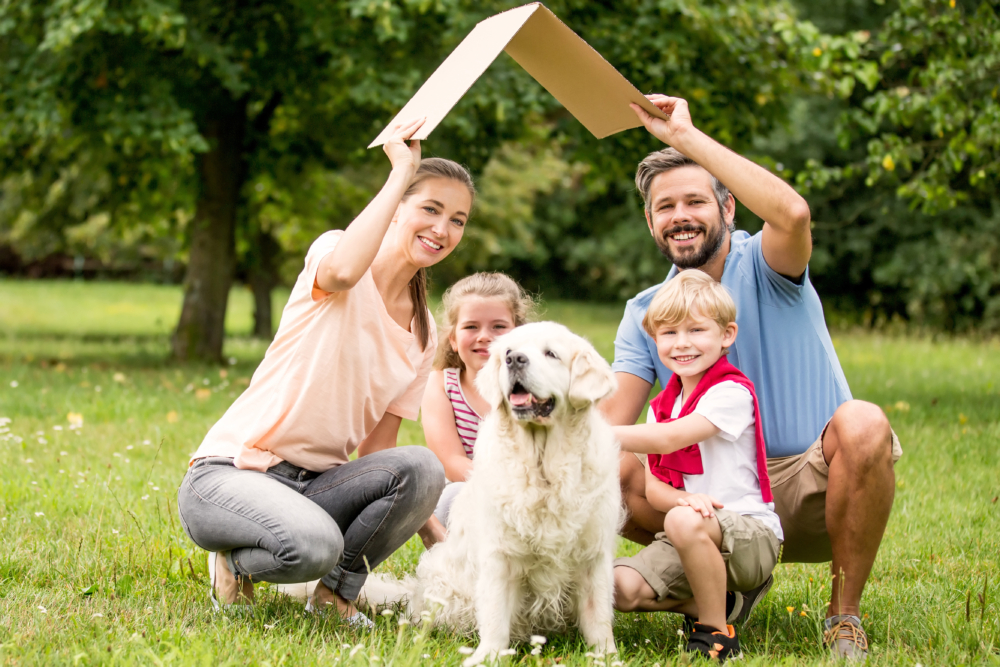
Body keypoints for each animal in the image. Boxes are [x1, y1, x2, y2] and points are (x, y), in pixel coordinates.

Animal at [412, 322, 616, 664]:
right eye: (508, 351)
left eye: (551, 354)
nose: (515, 359)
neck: (543, 468)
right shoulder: (500, 554)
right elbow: (495, 615)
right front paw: (487, 657)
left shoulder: (594, 555)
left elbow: (598, 614)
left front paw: (606, 656)